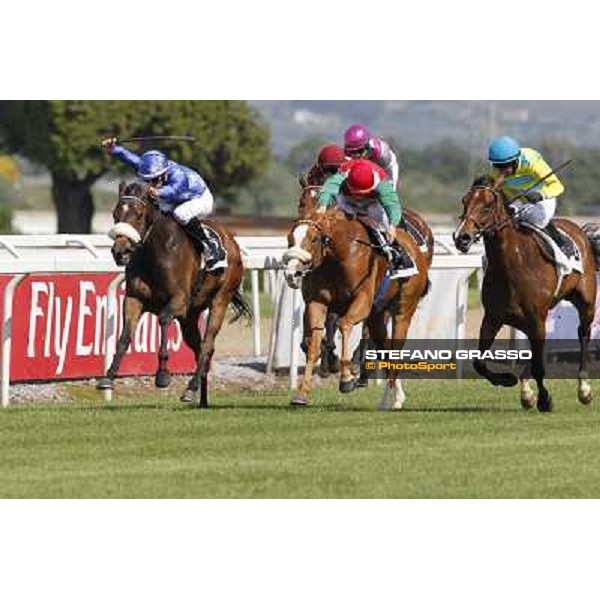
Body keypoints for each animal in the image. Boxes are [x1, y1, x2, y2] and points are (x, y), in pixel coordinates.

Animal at [96, 182, 251, 408]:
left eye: (139, 215)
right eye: (115, 214)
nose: (120, 251)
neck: (154, 253)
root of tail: (231, 239)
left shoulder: (179, 301)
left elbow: (163, 319)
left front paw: (162, 375)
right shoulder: (134, 299)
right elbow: (125, 335)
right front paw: (108, 377)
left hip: (220, 300)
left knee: (207, 345)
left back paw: (191, 388)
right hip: (190, 318)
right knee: (200, 349)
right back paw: (201, 398)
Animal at [284, 210, 428, 408]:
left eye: (314, 239)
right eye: (289, 238)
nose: (292, 274)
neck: (336, 257)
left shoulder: (362, 301)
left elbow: (345, 324)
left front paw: (346, 379)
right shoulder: (317, 302)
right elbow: (313, 346)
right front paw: (301, 394)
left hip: (403, 310)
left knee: (396, 350)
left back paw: (388, 401)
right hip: (377, 317)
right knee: (386, 350)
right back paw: (394, 398)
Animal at [454, 176, 600, 412]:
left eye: (486, 206)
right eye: (464, 202)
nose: (462, 238)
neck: (513, 264)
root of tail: (580, 230)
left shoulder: (536, 318)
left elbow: (540, 366)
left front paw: (544, 399)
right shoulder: (493, 317)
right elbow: (479, 362)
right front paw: (508, 380)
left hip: (585, 302)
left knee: (583, 334)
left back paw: (584, 390)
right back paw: (525, 388)